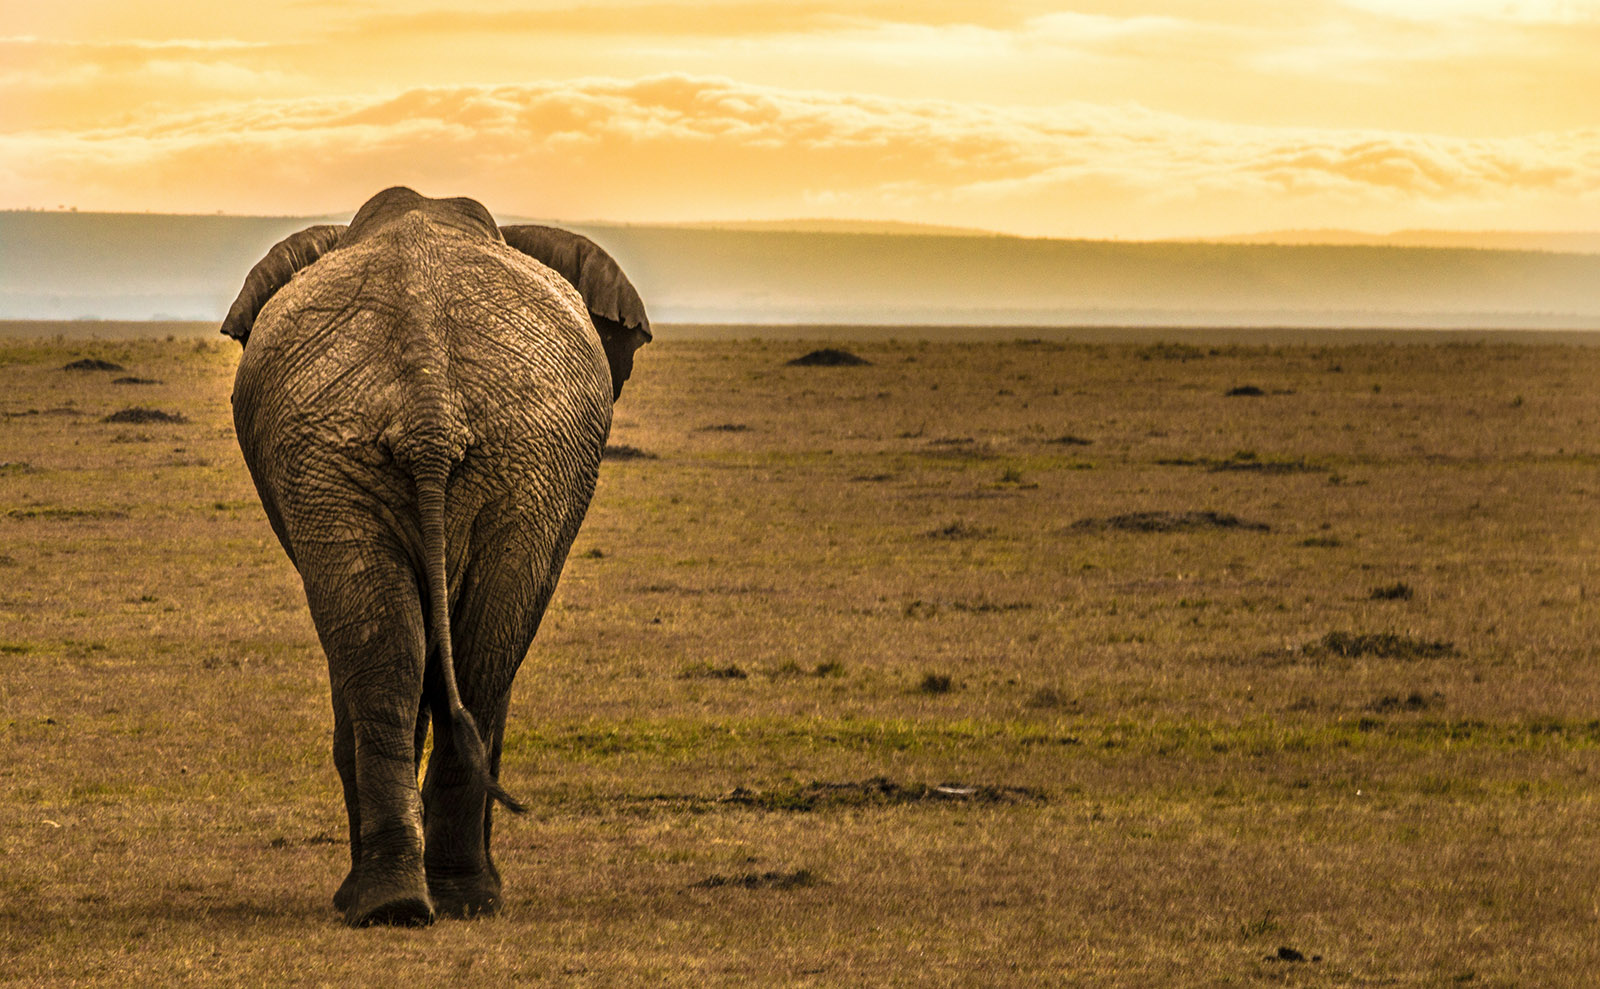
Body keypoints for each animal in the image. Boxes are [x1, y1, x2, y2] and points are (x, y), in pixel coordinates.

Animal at [220, 186, 650, 926]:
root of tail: (427, 399)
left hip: (503, 458)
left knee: (440, 657)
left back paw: (414, 901)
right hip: (445, 458)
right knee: (447, 658)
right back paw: (424, 900)